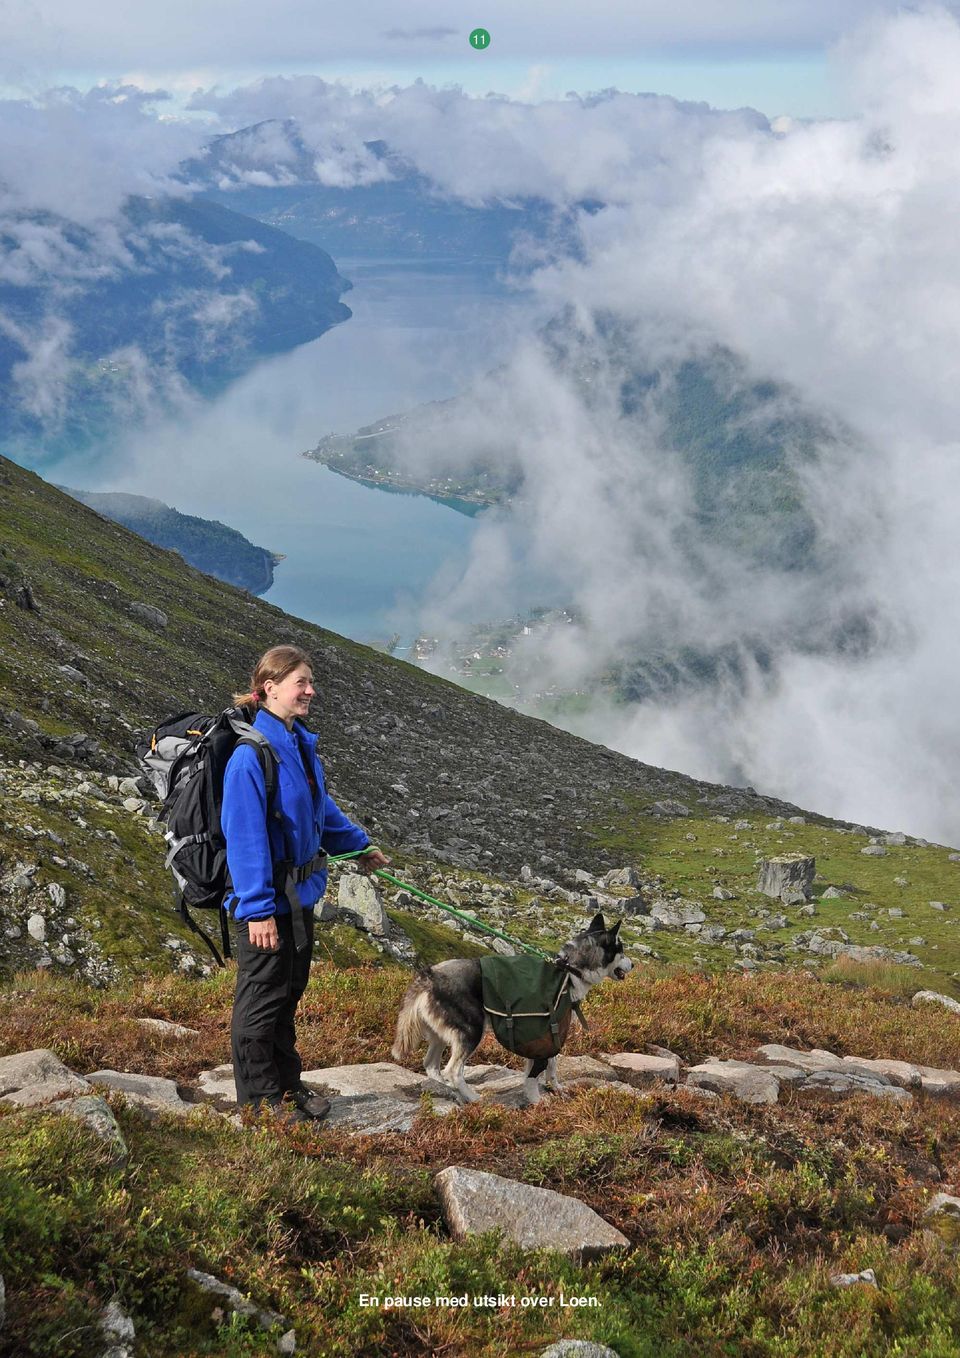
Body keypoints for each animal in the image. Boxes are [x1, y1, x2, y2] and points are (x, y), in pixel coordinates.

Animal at [391, 912, 630, 1102]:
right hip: (471, 1032)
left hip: (442, 1034)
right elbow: (534, 1076)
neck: (569, 971)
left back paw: (447, 1090)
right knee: (453, 1070)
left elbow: (552, 1067)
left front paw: (557, 1089)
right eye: (622, 950)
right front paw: (538, 1103)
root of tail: (429, 975)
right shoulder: (544, 1036)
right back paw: (473, 1098)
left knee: (431, 1065)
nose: (633, 964)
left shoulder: (548, 1036)